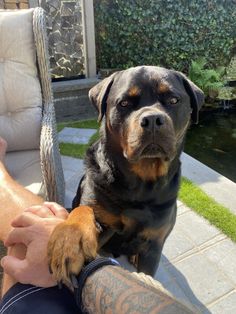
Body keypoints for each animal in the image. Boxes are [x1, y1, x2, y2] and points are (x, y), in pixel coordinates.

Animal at [47, 65, 204, 288]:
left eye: (174, 100)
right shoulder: (101, 218)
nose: (153, 120)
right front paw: (70, 241)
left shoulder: (154, 244)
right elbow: (83, 211)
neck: (140, 184)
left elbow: (147, 274)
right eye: (124, 103)